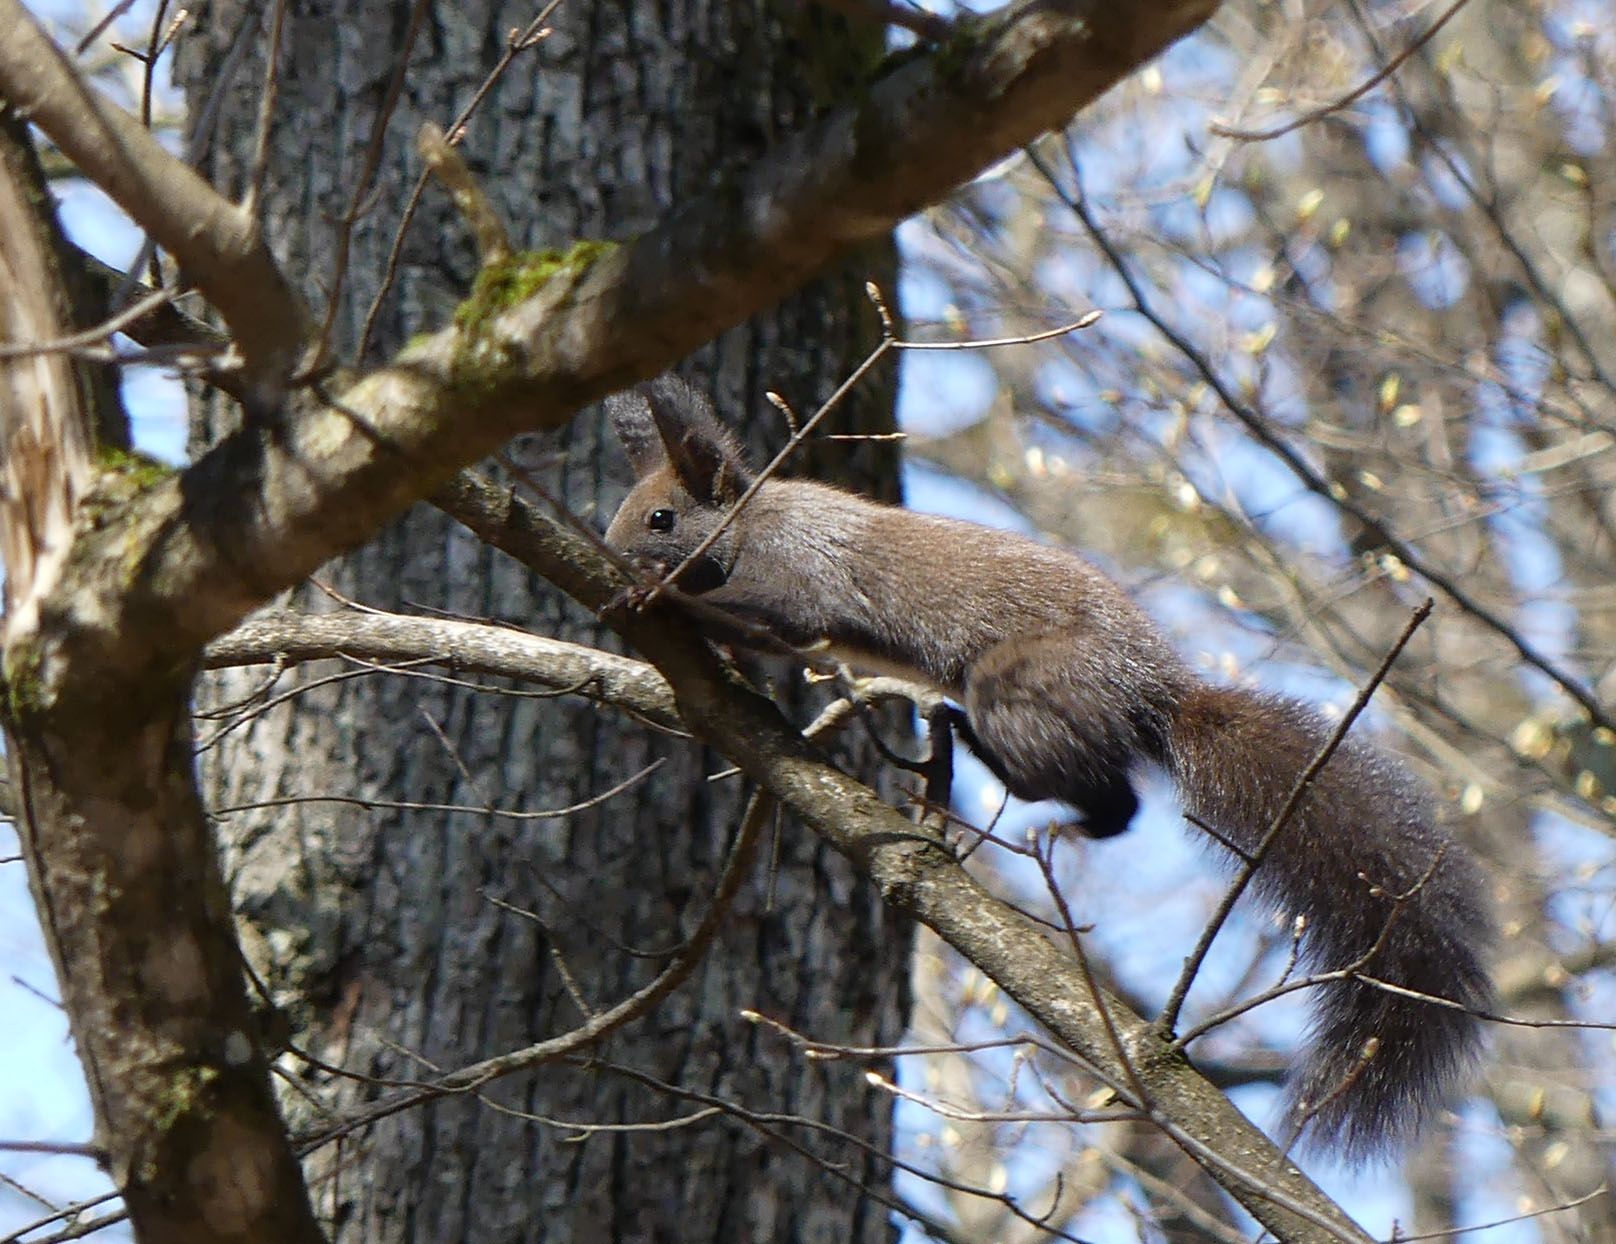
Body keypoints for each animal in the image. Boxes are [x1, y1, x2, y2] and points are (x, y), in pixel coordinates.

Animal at [601, 371, 1493, 1150]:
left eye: (661, 519)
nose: (616, 552)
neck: (752, 520)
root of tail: (1155, 693)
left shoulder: (801, 571)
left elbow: (779, 615)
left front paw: (657, 596)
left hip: (1024, 686)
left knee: (1105, 800)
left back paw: (1009, 775)